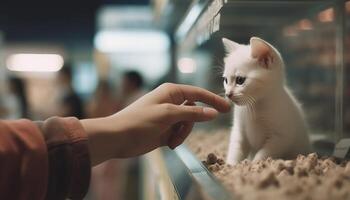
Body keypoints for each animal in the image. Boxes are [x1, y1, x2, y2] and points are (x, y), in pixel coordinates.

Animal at [223, 36, 310, 165]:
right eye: (225, 80)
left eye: (240, 80)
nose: (228, 94)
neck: (255, 107)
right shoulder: (239, 131)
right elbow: (236, 149)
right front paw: (230, 165)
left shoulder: (281, 138)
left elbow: (263, 153)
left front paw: (255, 164)